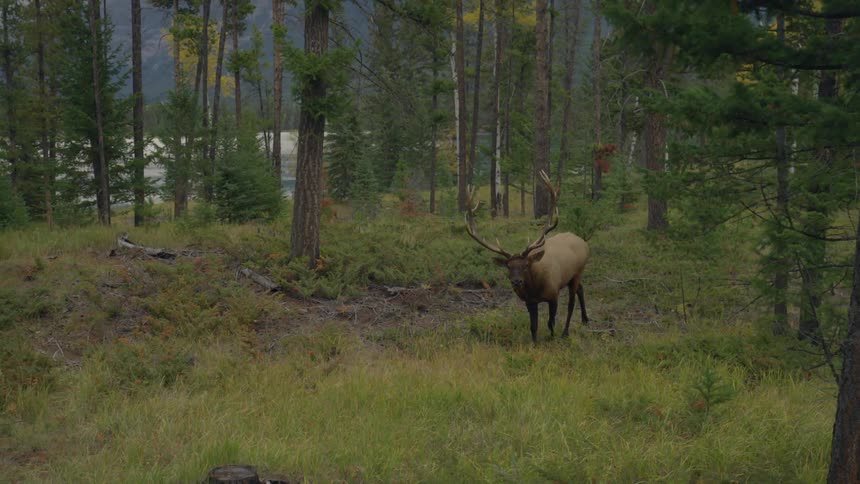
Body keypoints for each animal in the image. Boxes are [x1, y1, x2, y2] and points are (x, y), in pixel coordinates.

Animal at [465, 171, 590, 343]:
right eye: (508, 266)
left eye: (525, 265)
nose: (516, 281)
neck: (534, 288)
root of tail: (583, 242)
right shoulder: (529, 302)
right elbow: (533, 326)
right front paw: (534, 343)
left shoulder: (553, 295)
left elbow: (551, 322)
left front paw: (552, 338)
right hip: (573, 276)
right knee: (581, 289)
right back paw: (585, 319)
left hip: (578, 271)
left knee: (572, 301)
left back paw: (566, 332)